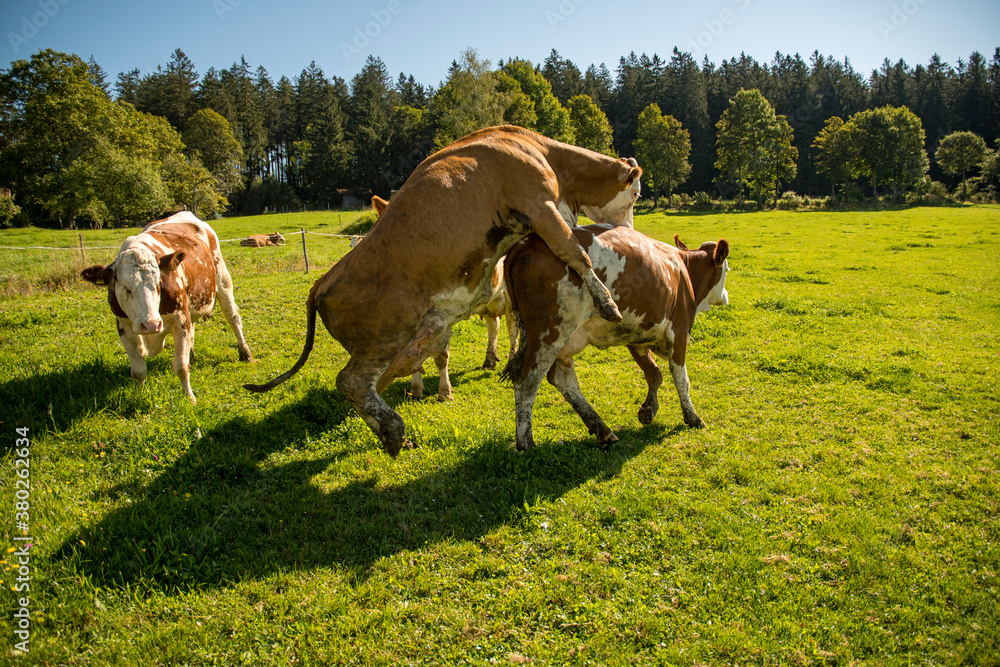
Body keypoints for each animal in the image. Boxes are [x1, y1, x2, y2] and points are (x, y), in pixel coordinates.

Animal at [81, 211, 253, 402]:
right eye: (126, 287)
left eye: (158, 284)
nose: (150, 324)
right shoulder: (123, 327)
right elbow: (138, 371)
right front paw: (138, 395)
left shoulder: (180, 319)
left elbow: (181, 366)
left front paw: (189, 398)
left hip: (222, 280)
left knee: (232, 317)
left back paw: (245, 352)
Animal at [244, 125, 642, 457]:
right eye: (636, 194)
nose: (629, 231)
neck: (538, 150)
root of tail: (323, 281)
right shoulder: (541, 207)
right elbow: (575, 253)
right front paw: (607, 302)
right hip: (385, 337)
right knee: (352, 383)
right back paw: (393, 430)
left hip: (419, 334)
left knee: (381, 381)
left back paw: (395, 428)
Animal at [502, 226, 730, 451]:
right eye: (726, 269)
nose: (726, 295)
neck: (684, 271)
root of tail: (526, 243)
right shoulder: (680, 331)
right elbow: (681, 379)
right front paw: (692, 417)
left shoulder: (637, 335)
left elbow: (654, 373)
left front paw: (648, 410)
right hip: (549, 333)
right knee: (527, 381)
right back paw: (526, 443)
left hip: (563, 341)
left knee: (563, 380)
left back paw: (602, 429)